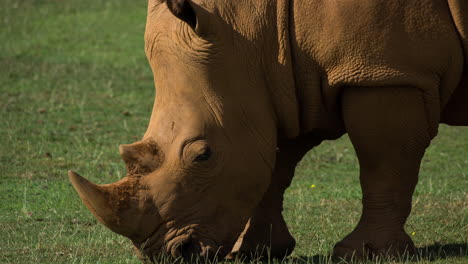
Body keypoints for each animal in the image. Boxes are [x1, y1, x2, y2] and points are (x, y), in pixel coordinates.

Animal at [67, 0, 466, 260]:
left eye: (203, 155)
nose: (175, 254)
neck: (256, 31)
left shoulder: (387, 72)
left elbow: (383, 164)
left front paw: (364, 253)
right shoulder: (288, 79)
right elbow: (274, 162)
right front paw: (254, 250)